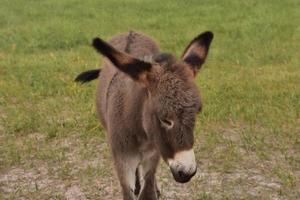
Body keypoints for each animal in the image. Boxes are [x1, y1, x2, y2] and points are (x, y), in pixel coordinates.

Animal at [76, 30, 214, 199]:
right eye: (165, 119)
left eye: (197, 112)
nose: (187, 172)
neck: (140, 131)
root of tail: (130, 31)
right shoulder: (123, 162)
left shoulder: (153, 155)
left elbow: (148, 189)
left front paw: (153, 189)